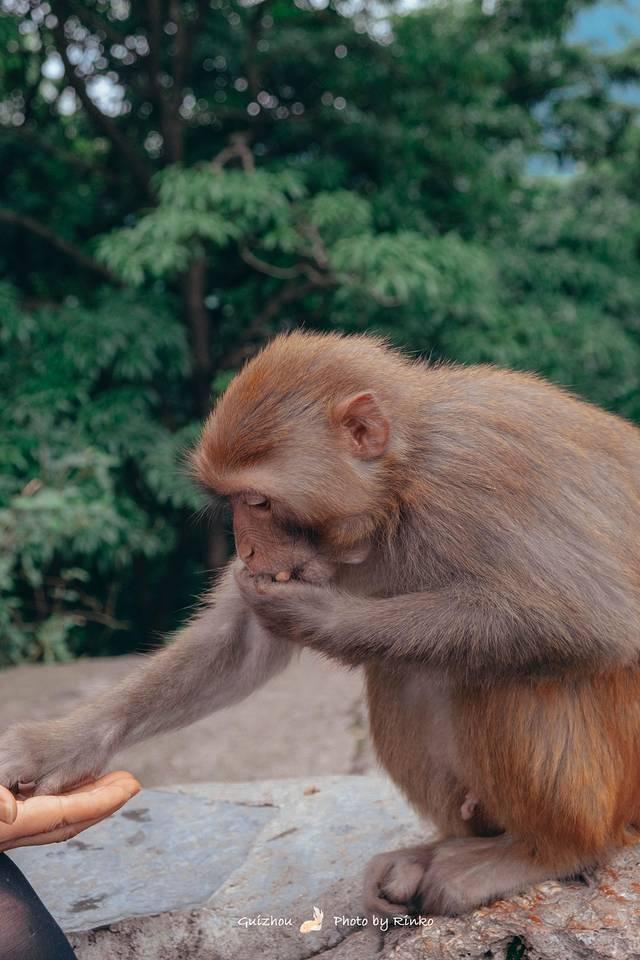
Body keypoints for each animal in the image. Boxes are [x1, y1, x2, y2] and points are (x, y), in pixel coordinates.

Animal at [0, 334, 640, 920]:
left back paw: (544, 852)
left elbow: (598, 619)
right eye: (232, 501)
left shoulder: (482, 476)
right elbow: (242, 643)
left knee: (500, 672)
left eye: (258, 501)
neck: (400, 486)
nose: (247, 551)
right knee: (408, 674)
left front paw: (319, 615)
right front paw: (53, 748)